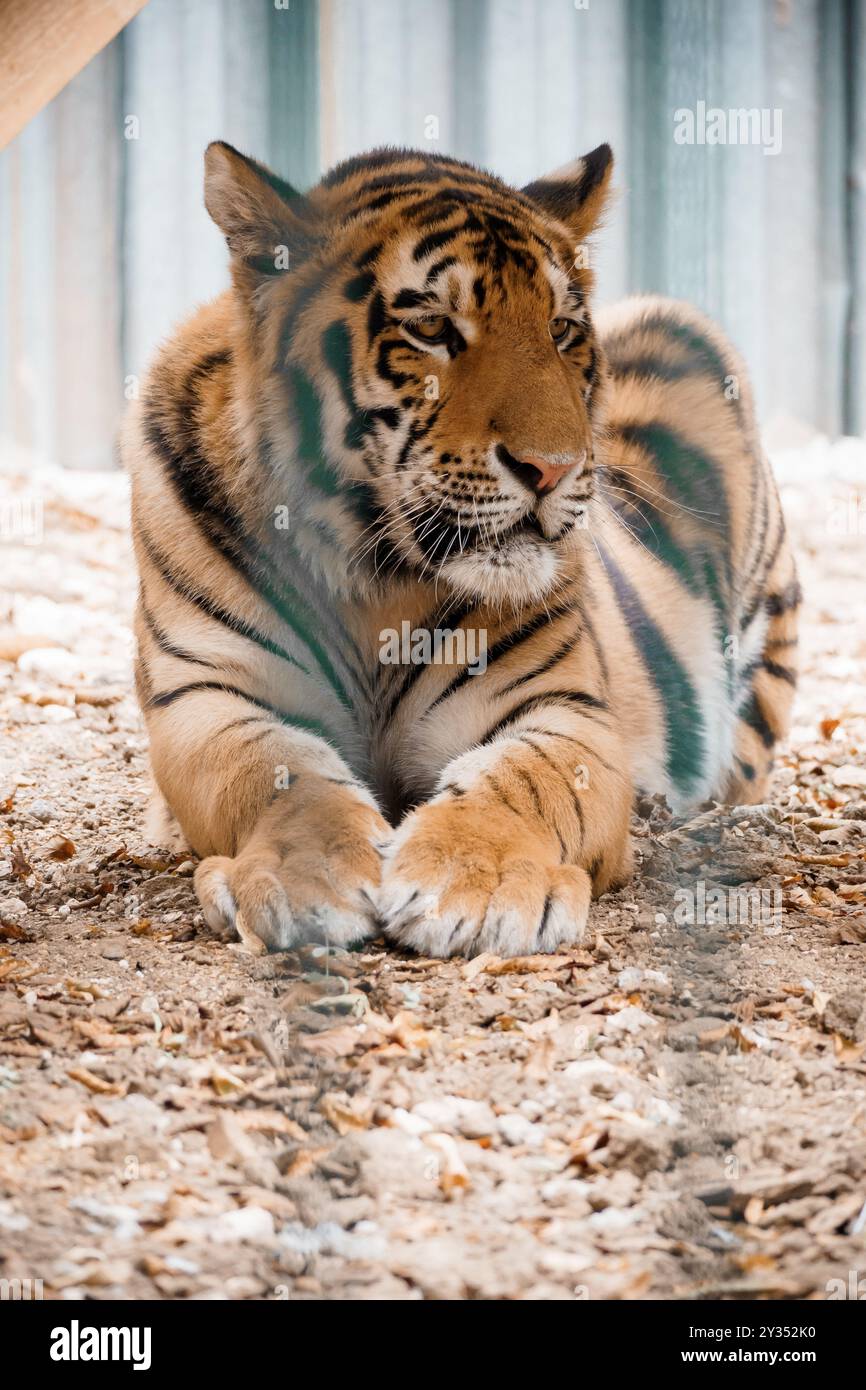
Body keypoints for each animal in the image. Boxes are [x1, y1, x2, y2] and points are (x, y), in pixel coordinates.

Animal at [122, 146, 800, 961]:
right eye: (432, 327)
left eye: (561, 327)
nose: (554, 468)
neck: (371, 577)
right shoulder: (206, 694)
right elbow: (272, 771)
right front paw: (305, 873)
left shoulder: (562, 709)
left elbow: (522, 781)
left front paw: (479, 883)